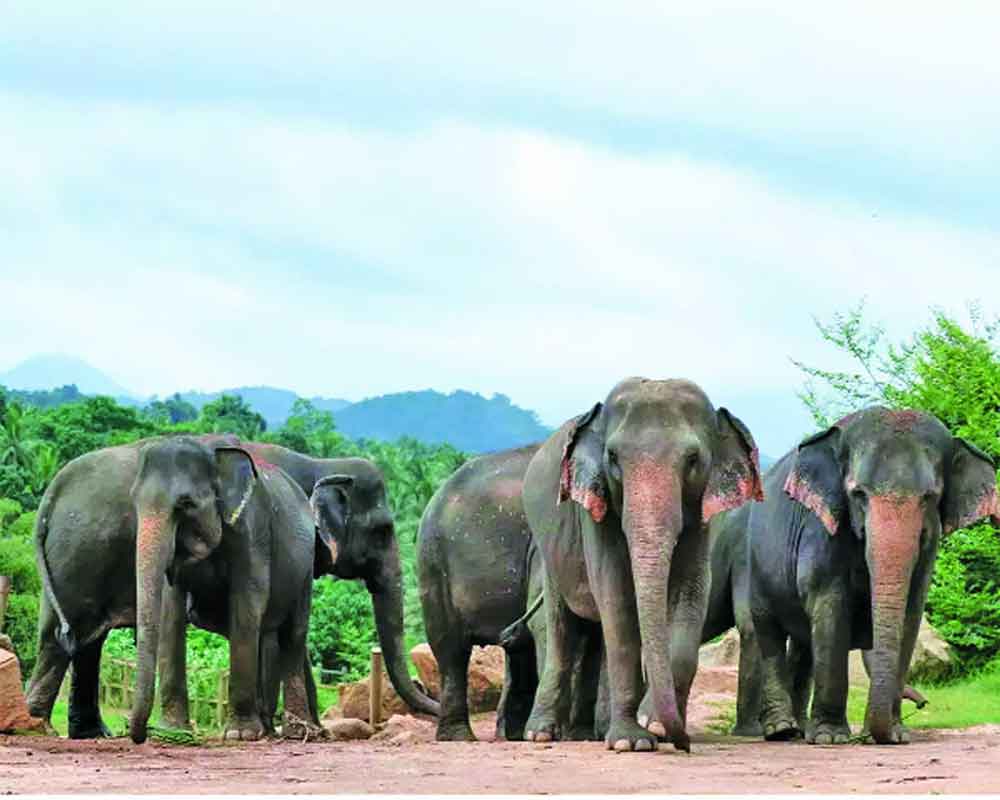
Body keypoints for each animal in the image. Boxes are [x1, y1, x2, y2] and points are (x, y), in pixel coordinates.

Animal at [521, 377, 763, 752]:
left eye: (693, 459)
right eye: (612, 457)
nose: (685, 744)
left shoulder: (700, 516)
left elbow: (692, 591)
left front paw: (655, 725)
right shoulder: (595, 507)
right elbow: (616, 594)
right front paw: (630, 742)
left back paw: (589, 733)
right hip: (550, 556)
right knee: (561, 628)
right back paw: (542, 733)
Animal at [748, 406, 999, 745]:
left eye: (929, 497)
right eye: (858, 494)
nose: (923, 705)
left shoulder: (928, 546)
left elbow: (911, 612)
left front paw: (894, 735)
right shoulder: (825, 528)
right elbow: (830, 606)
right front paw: (830, 739)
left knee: (803, 645)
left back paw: (800, 731)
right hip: (754, 563)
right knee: (769, 632)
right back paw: (783, 731)